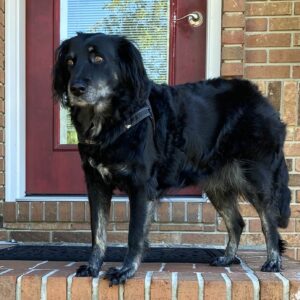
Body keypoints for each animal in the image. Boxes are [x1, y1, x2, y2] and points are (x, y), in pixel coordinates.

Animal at [52, 32, 290, 284]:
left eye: (98, 58)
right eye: (70, 62)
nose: (75, 88)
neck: (112, 123)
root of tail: (260, 98)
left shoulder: (141, 186)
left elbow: (134, 235)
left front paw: (126, 270)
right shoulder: (96, 184)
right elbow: (97, 234)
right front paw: (93, 267)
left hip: (257, 177)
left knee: (269, 221)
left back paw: (273, 261)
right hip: (216, 185)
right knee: (236, 222)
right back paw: (227, 258)